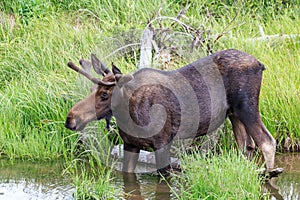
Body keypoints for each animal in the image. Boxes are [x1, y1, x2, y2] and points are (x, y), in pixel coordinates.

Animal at [65, 48, 282, 177]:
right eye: (91, 90)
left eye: (104, 94)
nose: (70, 119)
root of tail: (260, 64)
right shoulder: (130, 145)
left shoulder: (162, 143)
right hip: (233, 114)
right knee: (246, 146)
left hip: (247, 107)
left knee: (267, 141)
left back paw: (270, 172)